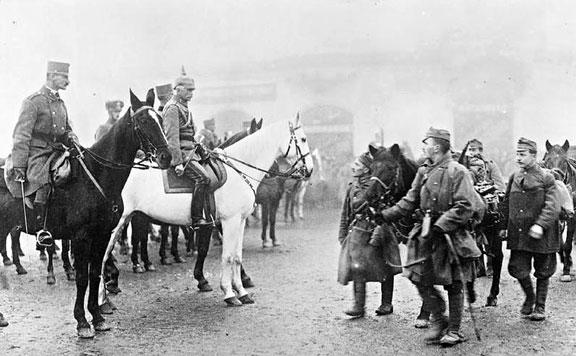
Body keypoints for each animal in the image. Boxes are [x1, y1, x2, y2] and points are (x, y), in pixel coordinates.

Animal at [0, 88, 171, 336]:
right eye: (142, 121)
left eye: (158, 118)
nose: (167, 157)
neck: (97, 176)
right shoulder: (81, 237)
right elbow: (81, 277)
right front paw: (82, 322)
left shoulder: (102, 235)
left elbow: (94, 274)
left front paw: (97, 317)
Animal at [101, 115, 312, 304]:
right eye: (303, 139)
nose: (309, 170)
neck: (237, 171)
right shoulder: (228, 221)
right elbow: (227, 256)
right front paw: (229, 293)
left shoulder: (240, 221)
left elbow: (236, 256)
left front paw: (242, 291)